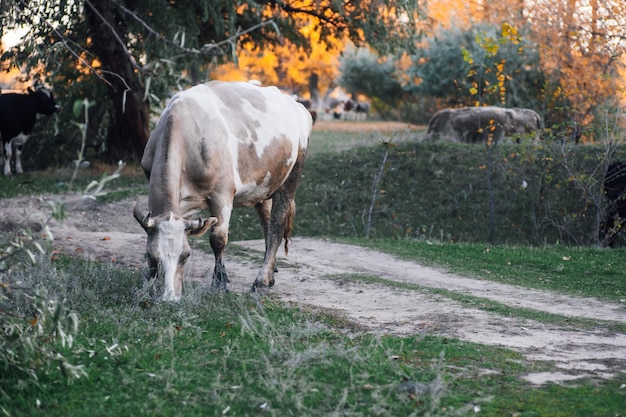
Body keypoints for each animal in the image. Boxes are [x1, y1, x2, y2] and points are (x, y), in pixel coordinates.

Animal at [135, 80, 314, 300]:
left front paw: (219, 282)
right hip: (264, 184)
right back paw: (271, 272)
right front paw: (148, 284)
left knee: (277, 226)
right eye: (153, 256)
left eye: (186, 255)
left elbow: (218, 239)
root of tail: (296, 105)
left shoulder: (222, 195)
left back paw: (262, 280)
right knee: (267, 222)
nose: (169, 297)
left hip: (291, 177)